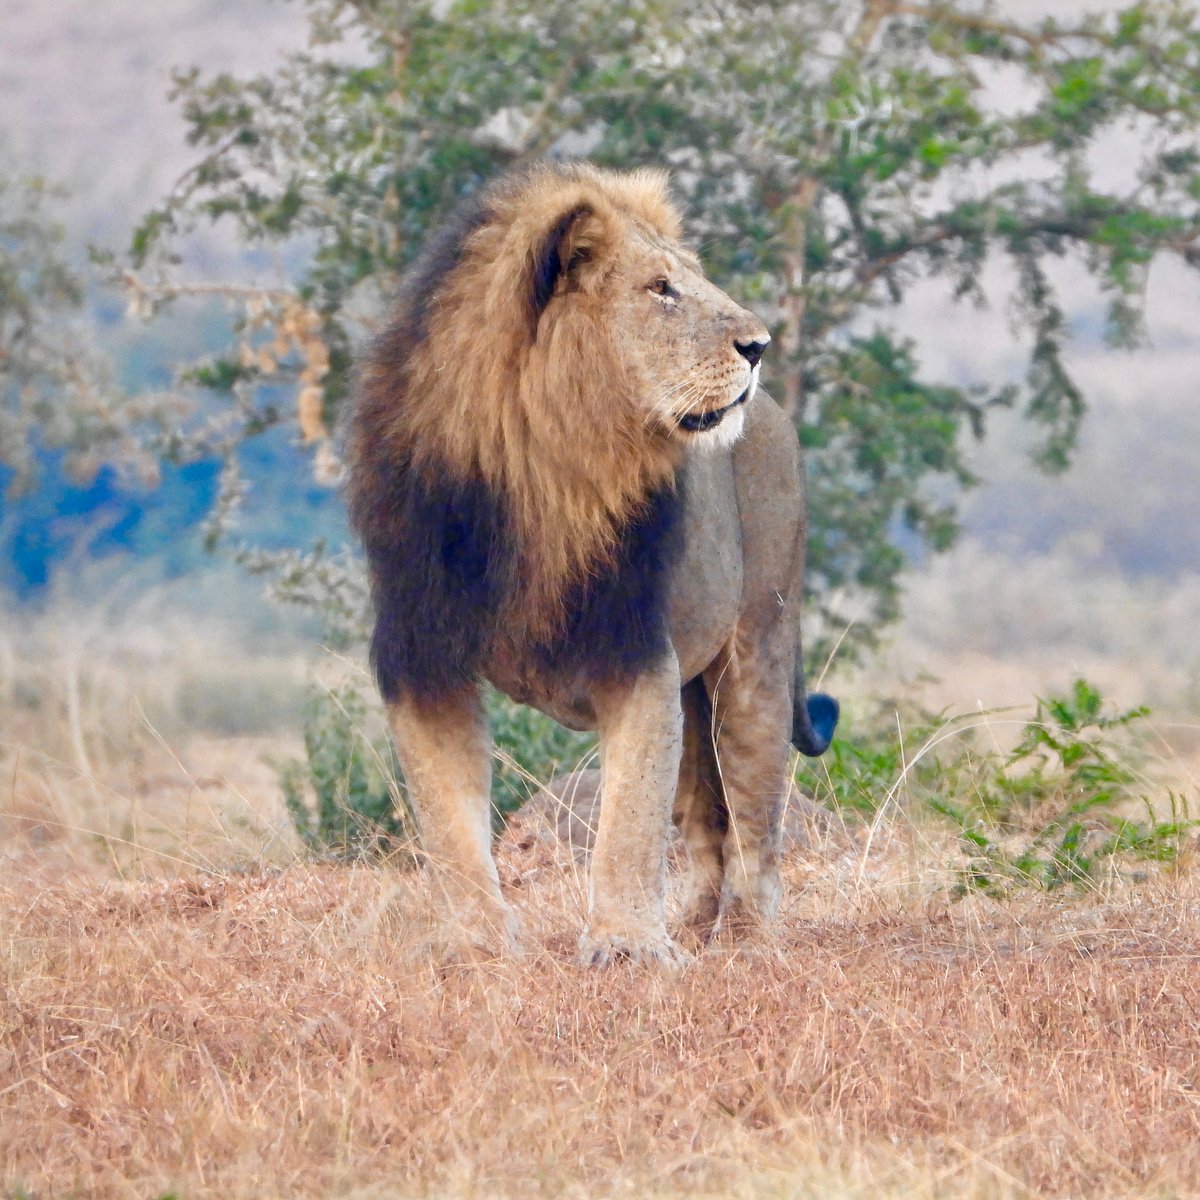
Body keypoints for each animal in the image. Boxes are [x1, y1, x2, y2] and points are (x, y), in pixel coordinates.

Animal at [345, 162, 835, 964]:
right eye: (661, 288)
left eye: (691, 277)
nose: (760, 345)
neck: (544, 464)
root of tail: (776, 418)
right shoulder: (422, 656)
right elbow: (448, 820)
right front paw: (477, 945)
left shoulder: (633, 648)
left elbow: (629, 819)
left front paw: (627, 947)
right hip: (695, 688)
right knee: (705, 817)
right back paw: (693, 926)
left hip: (756, 650)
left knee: (756, 817)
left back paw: (745, 939)